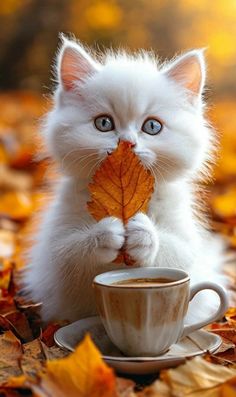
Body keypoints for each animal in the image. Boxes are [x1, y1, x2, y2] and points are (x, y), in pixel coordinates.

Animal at [22, 36, 227, 322]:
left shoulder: (185, 241)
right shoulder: (55, 256)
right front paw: (105, 233)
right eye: (104, 123)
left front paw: (143, 234)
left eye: (152, 126)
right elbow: (68, 257)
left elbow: (178, 254)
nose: (127, 143)